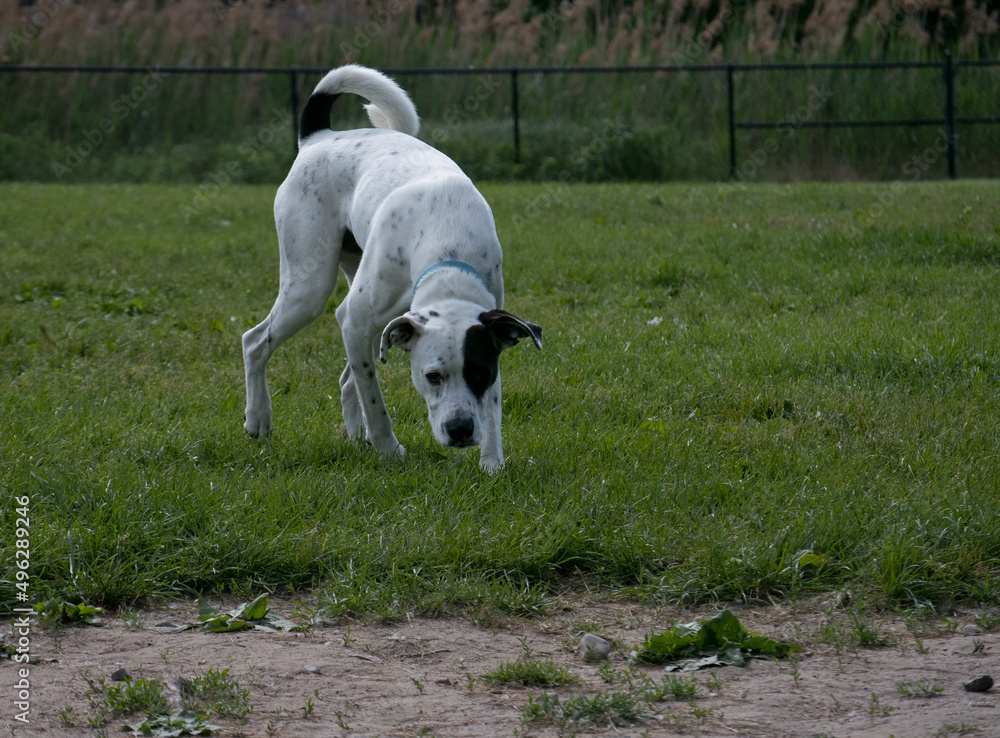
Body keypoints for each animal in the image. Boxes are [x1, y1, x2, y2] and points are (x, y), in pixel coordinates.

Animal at [242, 61, 540, 466]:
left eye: (481, 373)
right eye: (433, 376)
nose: (461, 430)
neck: (448, 247)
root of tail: (319, 137)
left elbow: (491, 407)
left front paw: (492, 461)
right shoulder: (354, 320)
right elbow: (374, 399)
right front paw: (389, 449)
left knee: (345, 377)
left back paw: (355, 437)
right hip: (309, 289)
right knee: (256, 341)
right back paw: (259, 419)